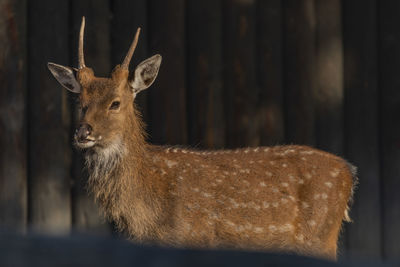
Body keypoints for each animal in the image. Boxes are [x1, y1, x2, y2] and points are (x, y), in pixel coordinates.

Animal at [47, 17, 356, 260]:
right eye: (80, 102)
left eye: (115, 103)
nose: (83, 132)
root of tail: (348, 172)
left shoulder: (194, 239)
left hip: (319, 237)